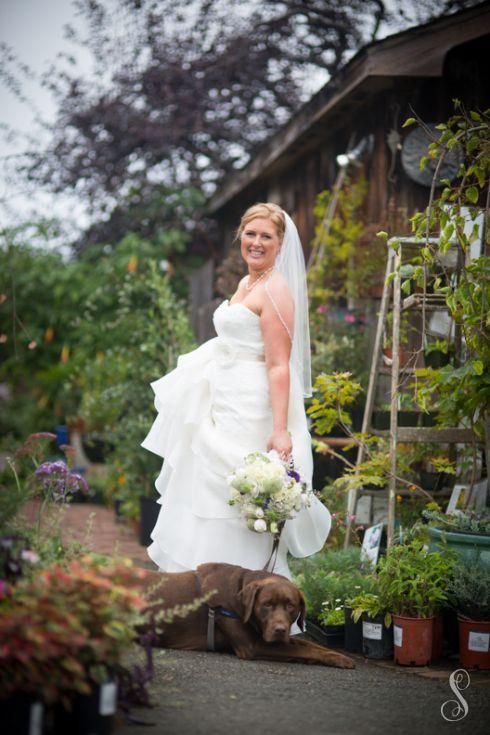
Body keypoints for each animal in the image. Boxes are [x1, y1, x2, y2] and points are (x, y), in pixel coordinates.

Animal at [142, 564, 356, 672]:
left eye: (290, 606)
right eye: (267, 604)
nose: (280, 630)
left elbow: (310, 645)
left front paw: (339, 656)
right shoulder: (252, 646)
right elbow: (304, 649)